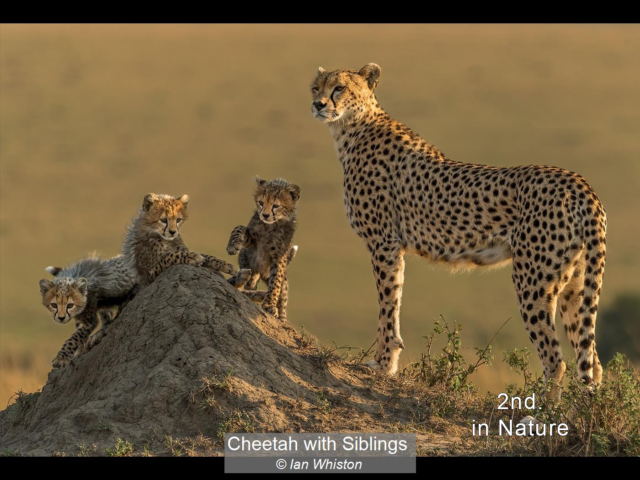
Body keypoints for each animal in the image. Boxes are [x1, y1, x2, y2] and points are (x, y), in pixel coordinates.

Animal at [226, 177, 300, 321]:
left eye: (276, 206)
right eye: (261, 202)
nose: (265, 215)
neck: (271, 226)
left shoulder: (278, 257)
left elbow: (276, 282)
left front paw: (270, 305)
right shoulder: (252, 241)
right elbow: (240, 227)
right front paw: (233, 245)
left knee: (283, 298)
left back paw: (281, 317)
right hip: (250, 266)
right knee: (251, 281)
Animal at [311, 63, 607, 400]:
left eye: (339, 88)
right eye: (315, 87)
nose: (318, 104)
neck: (352, 128)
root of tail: (579, 182)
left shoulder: (384, 243)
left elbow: (387, 305)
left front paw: (383, 364)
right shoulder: (391, 246)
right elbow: (393, 301)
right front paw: (387, 361)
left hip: (532, 281)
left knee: (556, 360)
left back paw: (542, 411)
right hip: (576, 284)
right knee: (592, 362)